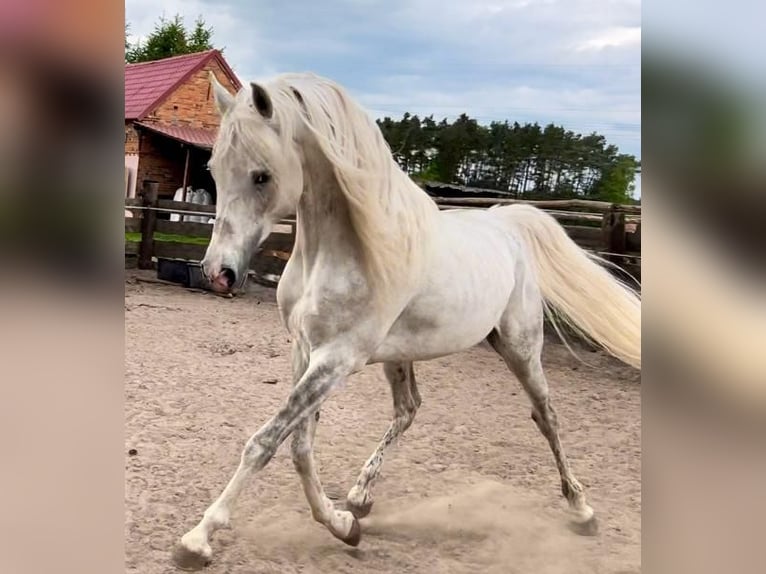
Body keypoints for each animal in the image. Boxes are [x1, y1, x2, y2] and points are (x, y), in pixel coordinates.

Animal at [174, 73, 640, 572]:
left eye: (262, 175)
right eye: (215, 170)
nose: (218, 272)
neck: (338, 251)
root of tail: (505, 223)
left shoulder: (337, 359)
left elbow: (266, 441)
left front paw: (197, 539)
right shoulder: (305, 350)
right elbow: (299, 447)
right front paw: (343, 525)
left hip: (520, 346)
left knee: (546, 416)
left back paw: (582, 511)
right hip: (400, 356)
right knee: (409, 408)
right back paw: (360, 497)